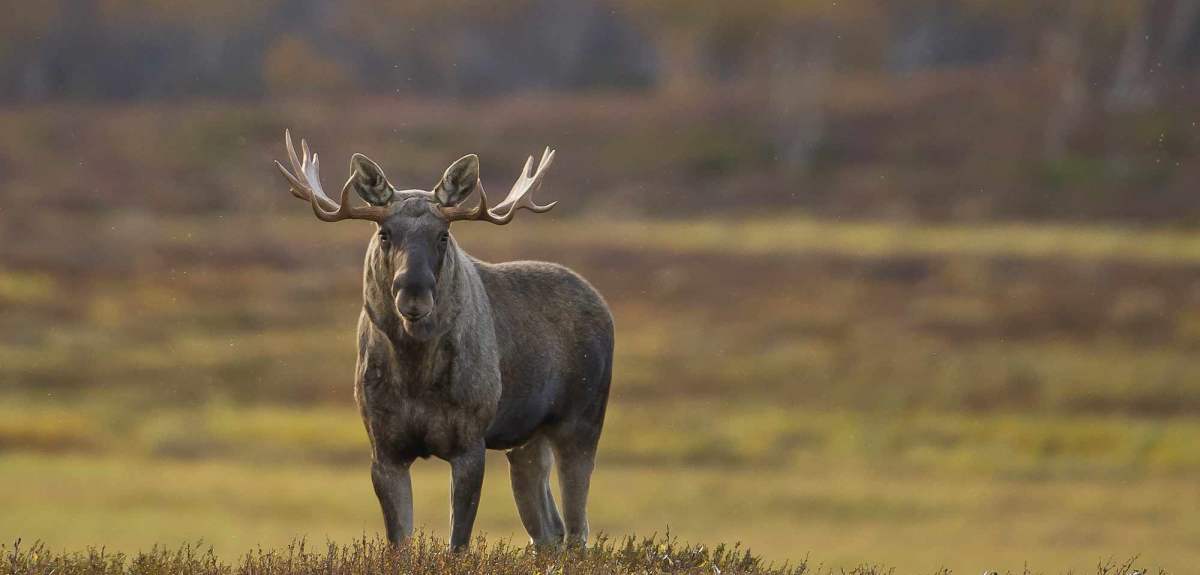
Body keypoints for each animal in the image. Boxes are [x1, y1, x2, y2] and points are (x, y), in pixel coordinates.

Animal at [273, 131, 613, 551]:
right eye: (384, 233)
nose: (413, 294)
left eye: (443, 235)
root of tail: (603, 305)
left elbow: (458, 546)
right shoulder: (384, 449)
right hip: (526, 442)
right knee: (549, 530)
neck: (414, 373)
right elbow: (399, 545)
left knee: (578, 531)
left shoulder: (469, 444)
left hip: (580, 422)